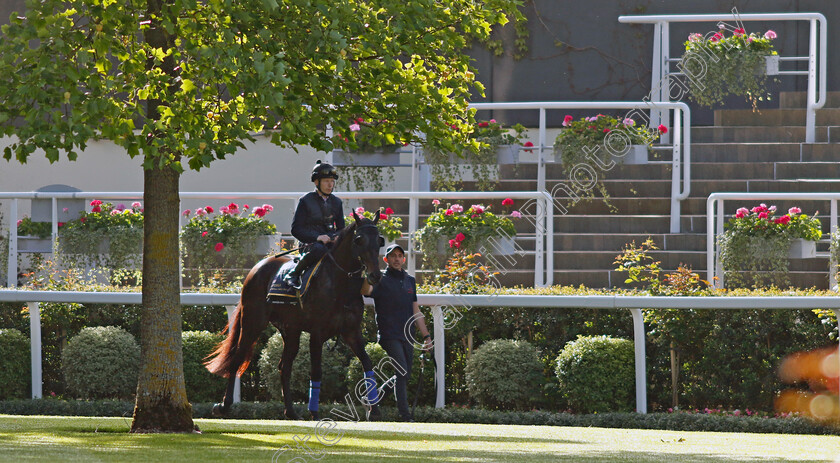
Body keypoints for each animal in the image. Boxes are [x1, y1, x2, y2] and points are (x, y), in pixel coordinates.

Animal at [205, 213, 382, 420]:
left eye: (380, 240)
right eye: (359, 239)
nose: (375, 275)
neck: (339, 285)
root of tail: (257, 267)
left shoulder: (351, 332)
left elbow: (367, 364)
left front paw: (374, 409)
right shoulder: (317, 334)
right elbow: (316, 371)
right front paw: (314, 412)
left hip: (290, 331)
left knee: (284, 366)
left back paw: (290, 411)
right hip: (252, 323)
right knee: (238, 357)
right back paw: (224, 405)